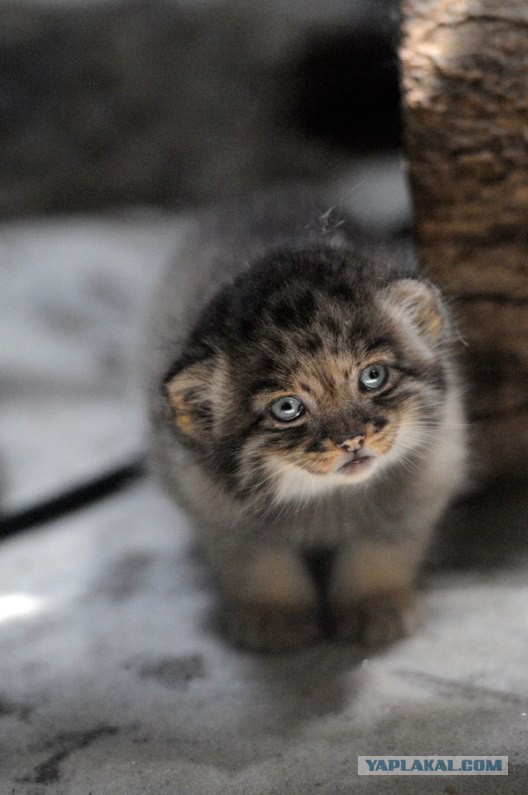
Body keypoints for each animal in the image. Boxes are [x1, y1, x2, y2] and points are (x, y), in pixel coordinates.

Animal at [145, 193, 466, 652]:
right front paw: (276, 616)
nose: (352, 440)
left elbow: (380, 549)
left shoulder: (426, 479)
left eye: (373, 376)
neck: (327, 500)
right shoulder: (215, 509)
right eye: (288, 408)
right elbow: (259, 563)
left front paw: (373, 604)